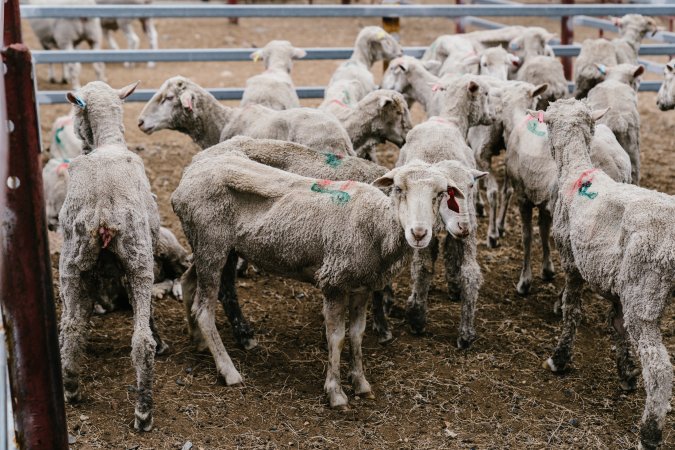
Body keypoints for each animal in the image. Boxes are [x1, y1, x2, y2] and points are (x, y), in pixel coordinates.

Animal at [58, 79, 162, 430]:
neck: (108, 143)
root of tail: (103, 211)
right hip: (139, 258)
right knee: (142, 341)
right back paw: (143, 412)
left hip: (71, 263)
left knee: (71, 328)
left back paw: (72, 389)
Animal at [174, 151, 468, 408]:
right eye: (398, 189)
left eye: (440, 194)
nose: (419, 233)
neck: (375, 225)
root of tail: (187, 177)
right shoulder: (334, 281)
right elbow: (336, 338)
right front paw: (335, 393)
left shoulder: (362, 285)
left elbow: (357, 334)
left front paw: (361, 383)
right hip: (211, 241)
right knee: (204, 309)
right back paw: (228, 370)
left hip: (212, 245)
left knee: (187, 282)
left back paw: (198, 341)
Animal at [536, 97, 672, 450]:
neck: (576, 172)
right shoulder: (616, 285)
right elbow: (616, 324)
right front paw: (626, 373)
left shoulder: (571, 260)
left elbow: (571, 310)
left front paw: (559, 359)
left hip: (644, 291)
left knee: (660, 370)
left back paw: (649, 433)